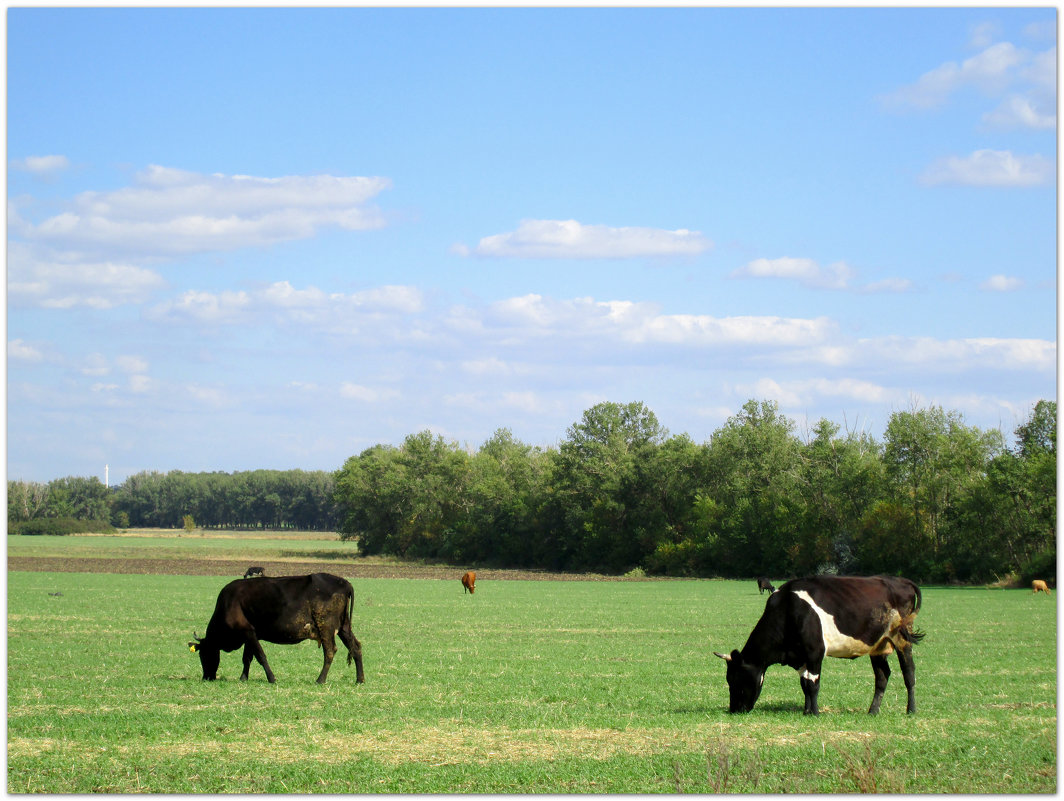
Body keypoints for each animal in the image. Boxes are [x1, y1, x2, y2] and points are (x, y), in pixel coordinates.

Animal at [193, 570, 368, 685]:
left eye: (203, 654)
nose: (206, 677)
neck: (227, 604)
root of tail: (345, 583)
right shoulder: (251, 633)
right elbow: (247, 658)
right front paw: (243, 678)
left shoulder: (247, 632)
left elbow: (261, 656)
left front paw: (271, 678)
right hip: (344, 627)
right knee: (356, 647)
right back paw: (359, 679)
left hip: (325, 626)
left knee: (330, 651)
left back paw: (320, 679)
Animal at [715, 570, 923, 714]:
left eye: (736, 678)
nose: (734, 709)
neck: (789, 608)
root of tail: (900, 581)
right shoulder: (800, 656)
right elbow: (804, 684)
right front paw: (806, 710)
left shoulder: (815, 652)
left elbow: (813, 684)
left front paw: (814, 712)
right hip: (878, 645)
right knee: (882, 676)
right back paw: (873, 711)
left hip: (902, 638)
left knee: (909, 672)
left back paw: (911, 710)